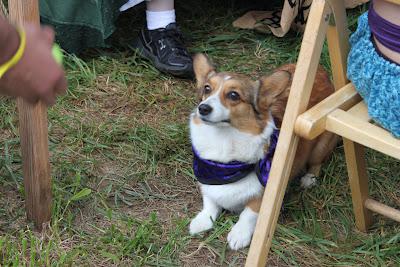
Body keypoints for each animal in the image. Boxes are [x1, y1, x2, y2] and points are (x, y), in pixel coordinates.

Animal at [188, 54, 338, 251]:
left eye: (233, 95)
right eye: (207, 88)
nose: (203, 108)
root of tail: (321, 71)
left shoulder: (264, 193)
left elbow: (248, 213)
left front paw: (239, 234)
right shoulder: (207, 177)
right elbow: (210, 202)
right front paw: (202, 221)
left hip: (320, 146)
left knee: (316, 162)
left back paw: (309, 178)